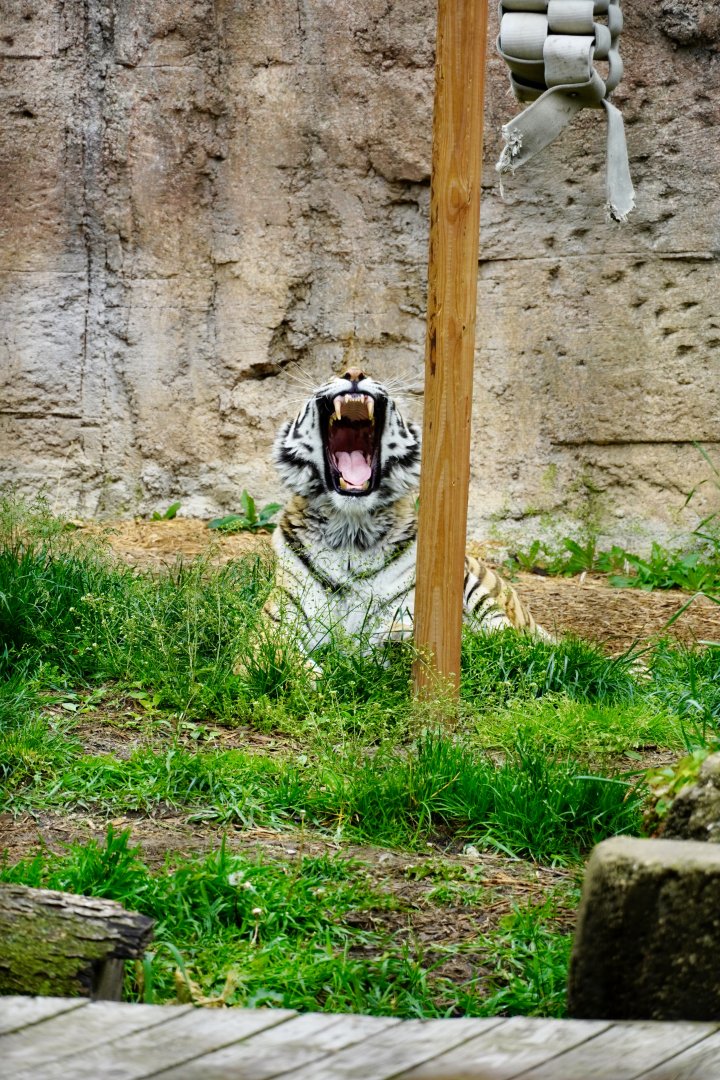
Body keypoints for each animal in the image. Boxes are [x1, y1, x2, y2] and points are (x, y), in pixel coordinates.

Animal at [266, 366, 549, 664]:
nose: (354, 372)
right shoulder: (273, 626)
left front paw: (398, 642)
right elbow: (285, 662)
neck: (351, 530)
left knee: (505, 642)